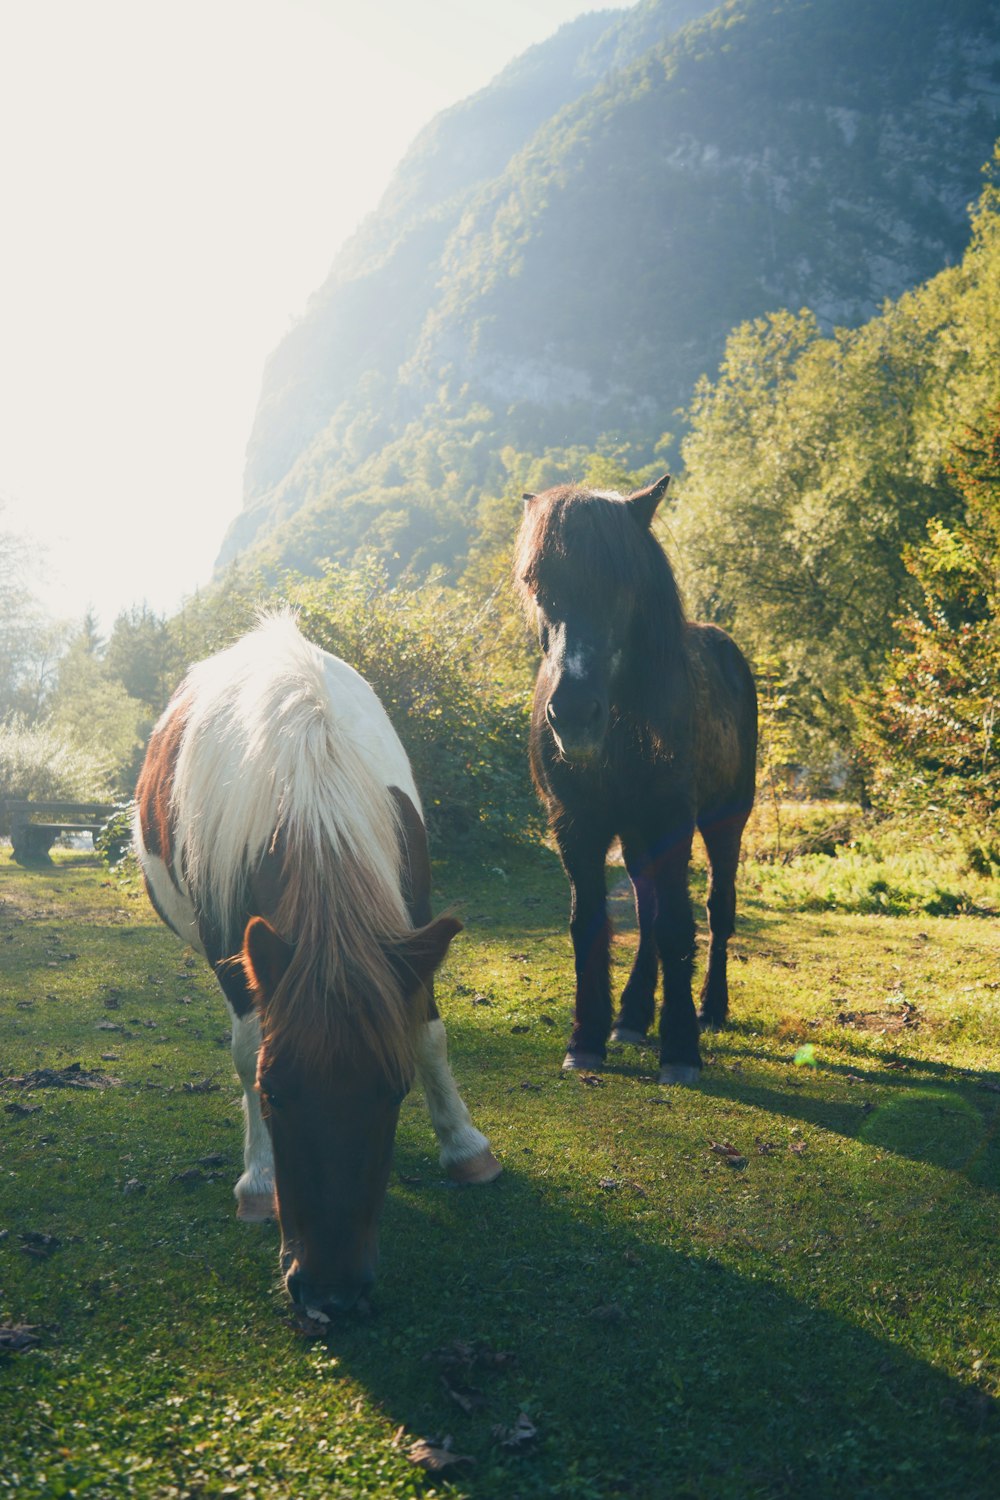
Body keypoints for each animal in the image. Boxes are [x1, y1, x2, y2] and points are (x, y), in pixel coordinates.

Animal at [132, 615, 500, 1320]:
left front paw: (465, 1146)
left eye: (394, 1091)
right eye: (276, 1094)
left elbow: (429, 1036)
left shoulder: (410, 924)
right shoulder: (235, 950)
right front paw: (259, 1182)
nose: (331, 1294)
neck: (311, 788)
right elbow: (248, 1051)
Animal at [515, 474, 758, 1086]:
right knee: (647, 912)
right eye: (537, 583)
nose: (574, 714)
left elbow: (677, 924)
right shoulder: (576, 826)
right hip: (634, 836)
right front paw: (587, 1038)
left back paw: (710, 1007)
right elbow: (591, 923)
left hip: (726, 820)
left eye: (621, 583)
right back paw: (631, 1016)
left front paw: (681, 1047)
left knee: (717, 907)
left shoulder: (672, 822)